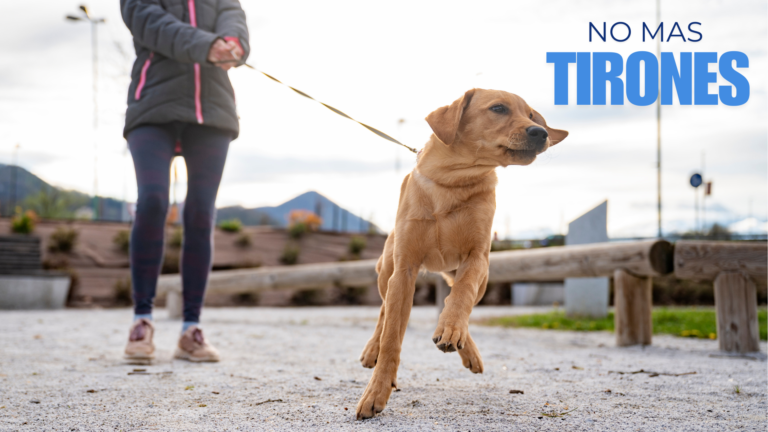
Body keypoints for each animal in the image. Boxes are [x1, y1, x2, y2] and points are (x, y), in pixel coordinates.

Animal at [356, 88, 568, 418]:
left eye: (532, 115)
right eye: (498, 108)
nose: (541, 132)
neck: (452, 181)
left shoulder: (476, 258)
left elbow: (461, 296)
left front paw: (452, 328)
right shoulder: (404, 269)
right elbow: (392, 337)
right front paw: (376, 391)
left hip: (481, 277)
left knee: (455, 297)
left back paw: (460, 341)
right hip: (386, 271)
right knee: (383, 310)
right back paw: (372, 349)